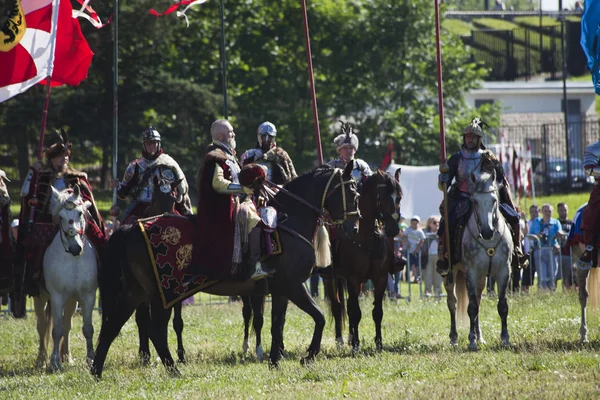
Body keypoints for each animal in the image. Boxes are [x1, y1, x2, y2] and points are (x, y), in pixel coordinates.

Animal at [33, 186, 98, 370]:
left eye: (81, 213)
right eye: (60, 217)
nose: (76, 247)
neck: (73, 259)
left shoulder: (88, 296)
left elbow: (87, 328)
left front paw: (91, 358)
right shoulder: (57, 297)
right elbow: (56, 330)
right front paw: (54, 362)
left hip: (71, 300)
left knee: (67, 325)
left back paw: (66, 356)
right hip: (41, 297)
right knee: (42, 326)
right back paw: (42, 359)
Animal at [91, 162, 358, 378]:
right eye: (353, 192)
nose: (353, 228)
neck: (289, 220)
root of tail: (131, 229)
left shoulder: (281, 290)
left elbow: (278, 325)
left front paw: (274, 362)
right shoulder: (293, 286)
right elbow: (319, 317)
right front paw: (308, 356)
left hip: (137, 291)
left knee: (113, 325)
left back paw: (97, 371)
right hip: (162, 294)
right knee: (155, 330)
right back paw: (173, 370)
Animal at [324, 170, 404, 352]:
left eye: (399, 197)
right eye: (384, 196)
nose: (394, 229)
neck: (365, 236)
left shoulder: (380, 278)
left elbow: (377, 312)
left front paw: (379, 344)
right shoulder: (353, 279)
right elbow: (355, 312)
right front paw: (356, 346)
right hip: (331, 278)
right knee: (337, 306)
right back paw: (340, 340)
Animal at [442, 170, 512, 352]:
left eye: (494, 200)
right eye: (474, 201)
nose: (487, 231)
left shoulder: (504, 271)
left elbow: (502, 305)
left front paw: (505, 338)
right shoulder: (471, 273)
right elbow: (471, 307)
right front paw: (471, 341)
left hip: (482, 278)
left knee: (479, 300)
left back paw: (480, 337)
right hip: (451, 274)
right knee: (452, 303)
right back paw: (454, 338)